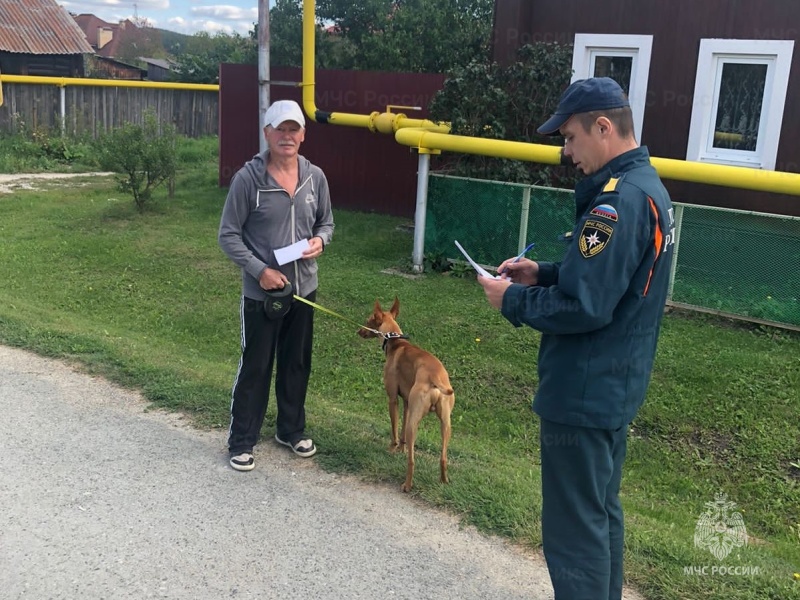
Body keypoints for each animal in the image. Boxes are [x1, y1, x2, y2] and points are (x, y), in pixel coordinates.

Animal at [358, 298, 454, 492]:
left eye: (368, 320)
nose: (359, 331)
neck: (396, 342)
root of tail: (435, 377)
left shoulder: (393, 399)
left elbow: (395, 430)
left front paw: (392, 449)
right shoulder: (407, 403)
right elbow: (401, 432)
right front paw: (401, 450)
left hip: (414, 423)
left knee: (412, 461)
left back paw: (407, 484)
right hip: (445, 424)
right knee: (443, 457)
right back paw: (444, 481)